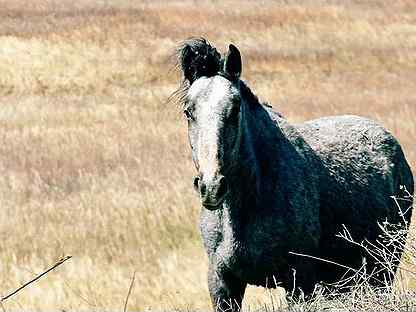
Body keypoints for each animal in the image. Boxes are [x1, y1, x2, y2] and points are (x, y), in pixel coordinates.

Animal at [175, 37, 412, 310]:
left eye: (235, 109)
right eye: (188, 112)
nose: (212, 188)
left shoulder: (300, 282)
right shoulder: (222, 282)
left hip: (382, 268)